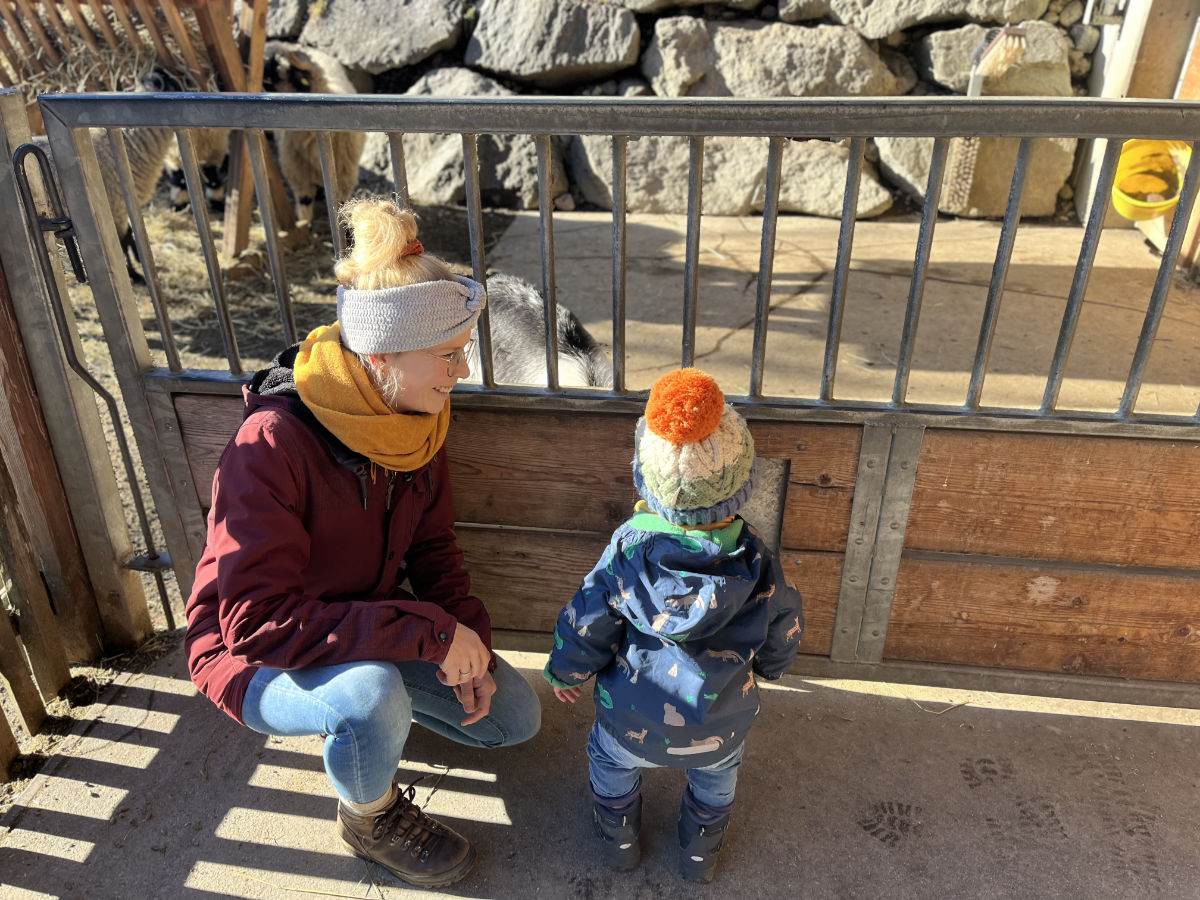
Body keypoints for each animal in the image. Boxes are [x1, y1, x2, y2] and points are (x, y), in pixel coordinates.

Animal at [259, 41, 360, 226]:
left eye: (275, 66)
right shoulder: (298, 174)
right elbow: (305, 205)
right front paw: (305, 225)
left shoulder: (344, 176)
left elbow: (341, 208)